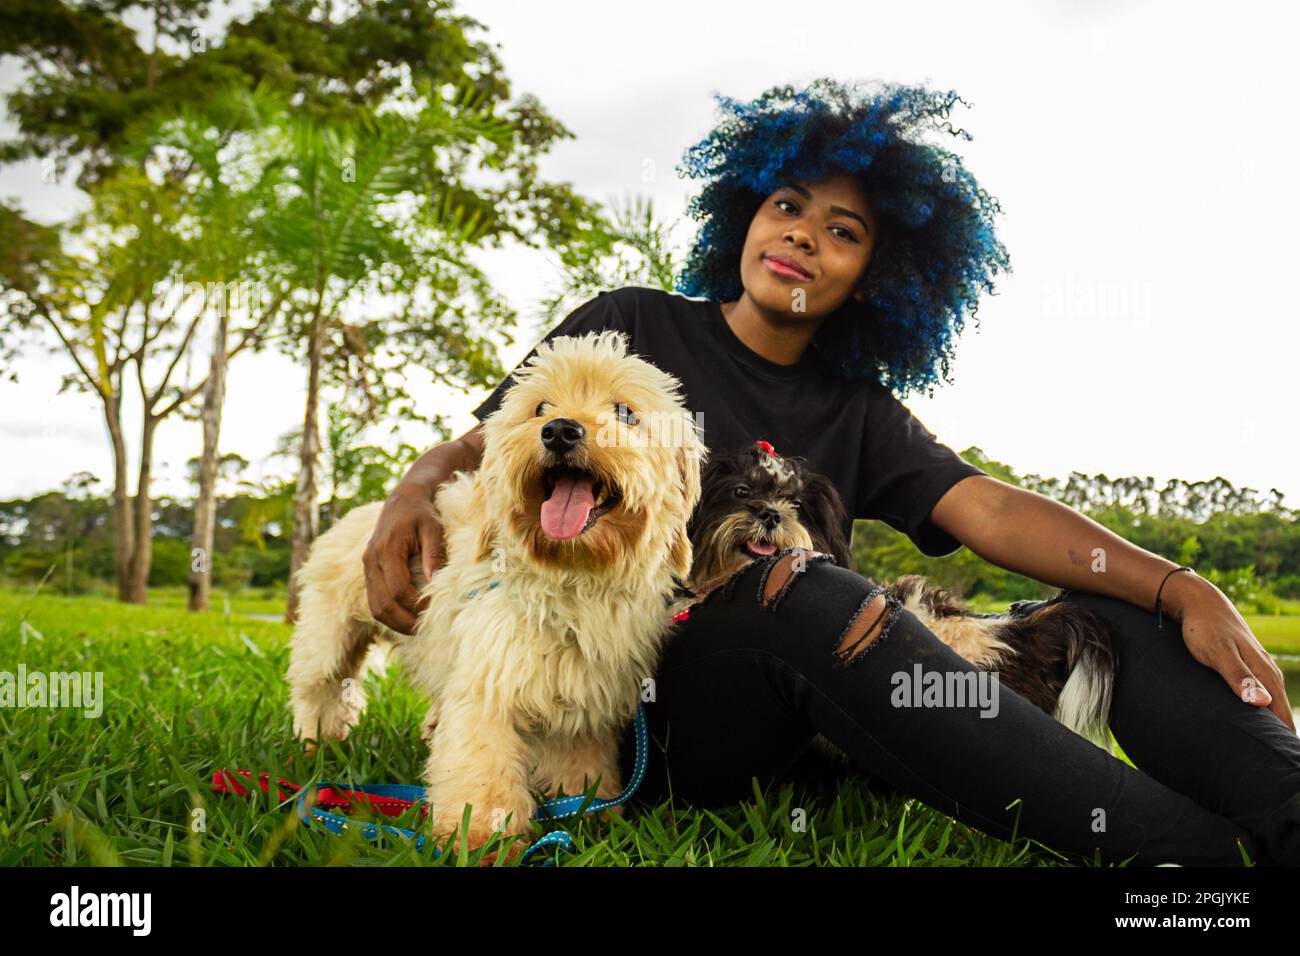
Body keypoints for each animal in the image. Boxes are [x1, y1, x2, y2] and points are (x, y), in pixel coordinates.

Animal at [289, 332, 707, 858]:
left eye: (625, 413)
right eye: (540, 407)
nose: (560, 431)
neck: (572, 576)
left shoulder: (585, 699)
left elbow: (581, 770)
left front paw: (592, 819)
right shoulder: (487, 687)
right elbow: (481, 778)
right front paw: (483, 842)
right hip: (327, 639)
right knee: (319, 689)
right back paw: (315, 746)